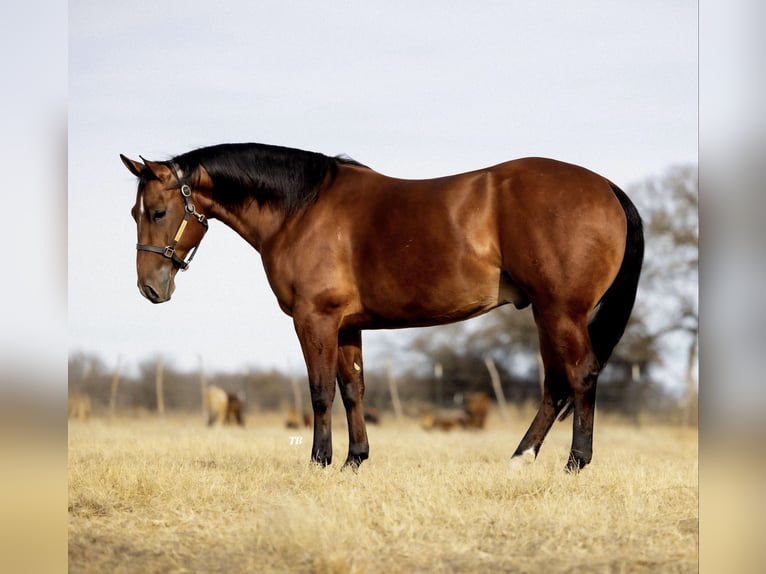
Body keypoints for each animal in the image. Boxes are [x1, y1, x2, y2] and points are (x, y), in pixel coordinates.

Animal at [123, 143, 644, 472]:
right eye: (134, 213)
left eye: (158, 212)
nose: (150, 287)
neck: (302, 210)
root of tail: (607, 188)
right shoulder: (347, 325)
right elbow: (353, 388)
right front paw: (355, 459)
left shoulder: (315, 318)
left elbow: (320, 391)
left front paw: (319, 461)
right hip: (544, 312)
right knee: (556, 384)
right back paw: (521, 458)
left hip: (561, 311)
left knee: (581, 375)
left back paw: (575, 462)